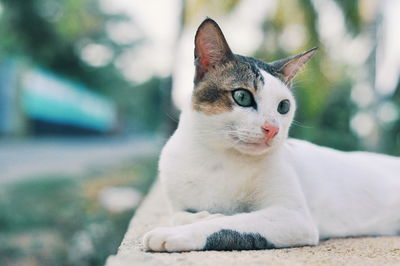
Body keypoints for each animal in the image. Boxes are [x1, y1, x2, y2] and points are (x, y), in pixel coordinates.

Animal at [143, 18, 400, 251]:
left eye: (283, 106)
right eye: (242, 97)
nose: (273, 128)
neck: (218, 159)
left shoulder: (293, 217)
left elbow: (232, 223)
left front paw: (177, 233)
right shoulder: (176, 200)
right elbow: (179, 214)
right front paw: (202, 216)